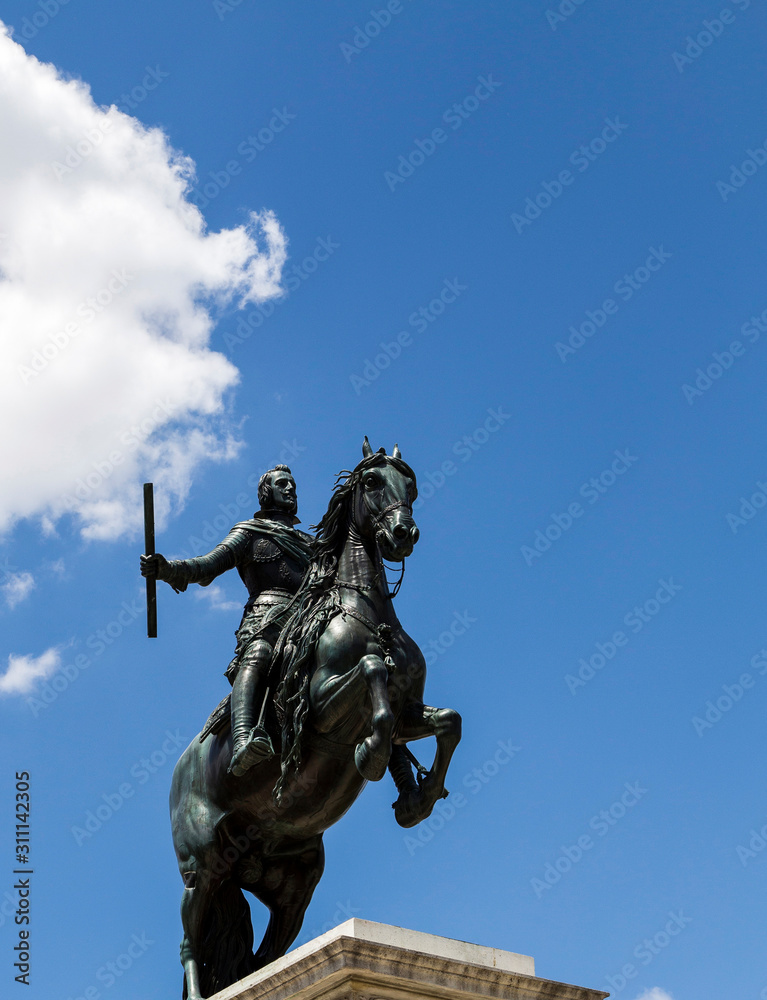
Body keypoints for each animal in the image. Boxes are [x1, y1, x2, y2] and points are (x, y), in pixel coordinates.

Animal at [170, 442, 462, 996]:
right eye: (371, 482)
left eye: (410, 485)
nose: (403, 534)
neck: (365, 611)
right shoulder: (321, 713)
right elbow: (372, 671)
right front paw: (370, 754)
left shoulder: (411, 711)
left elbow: (447, 721)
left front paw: (420, 797)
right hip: (204, 868)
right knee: (191, 943)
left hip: (292, 885)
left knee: (260, 960)